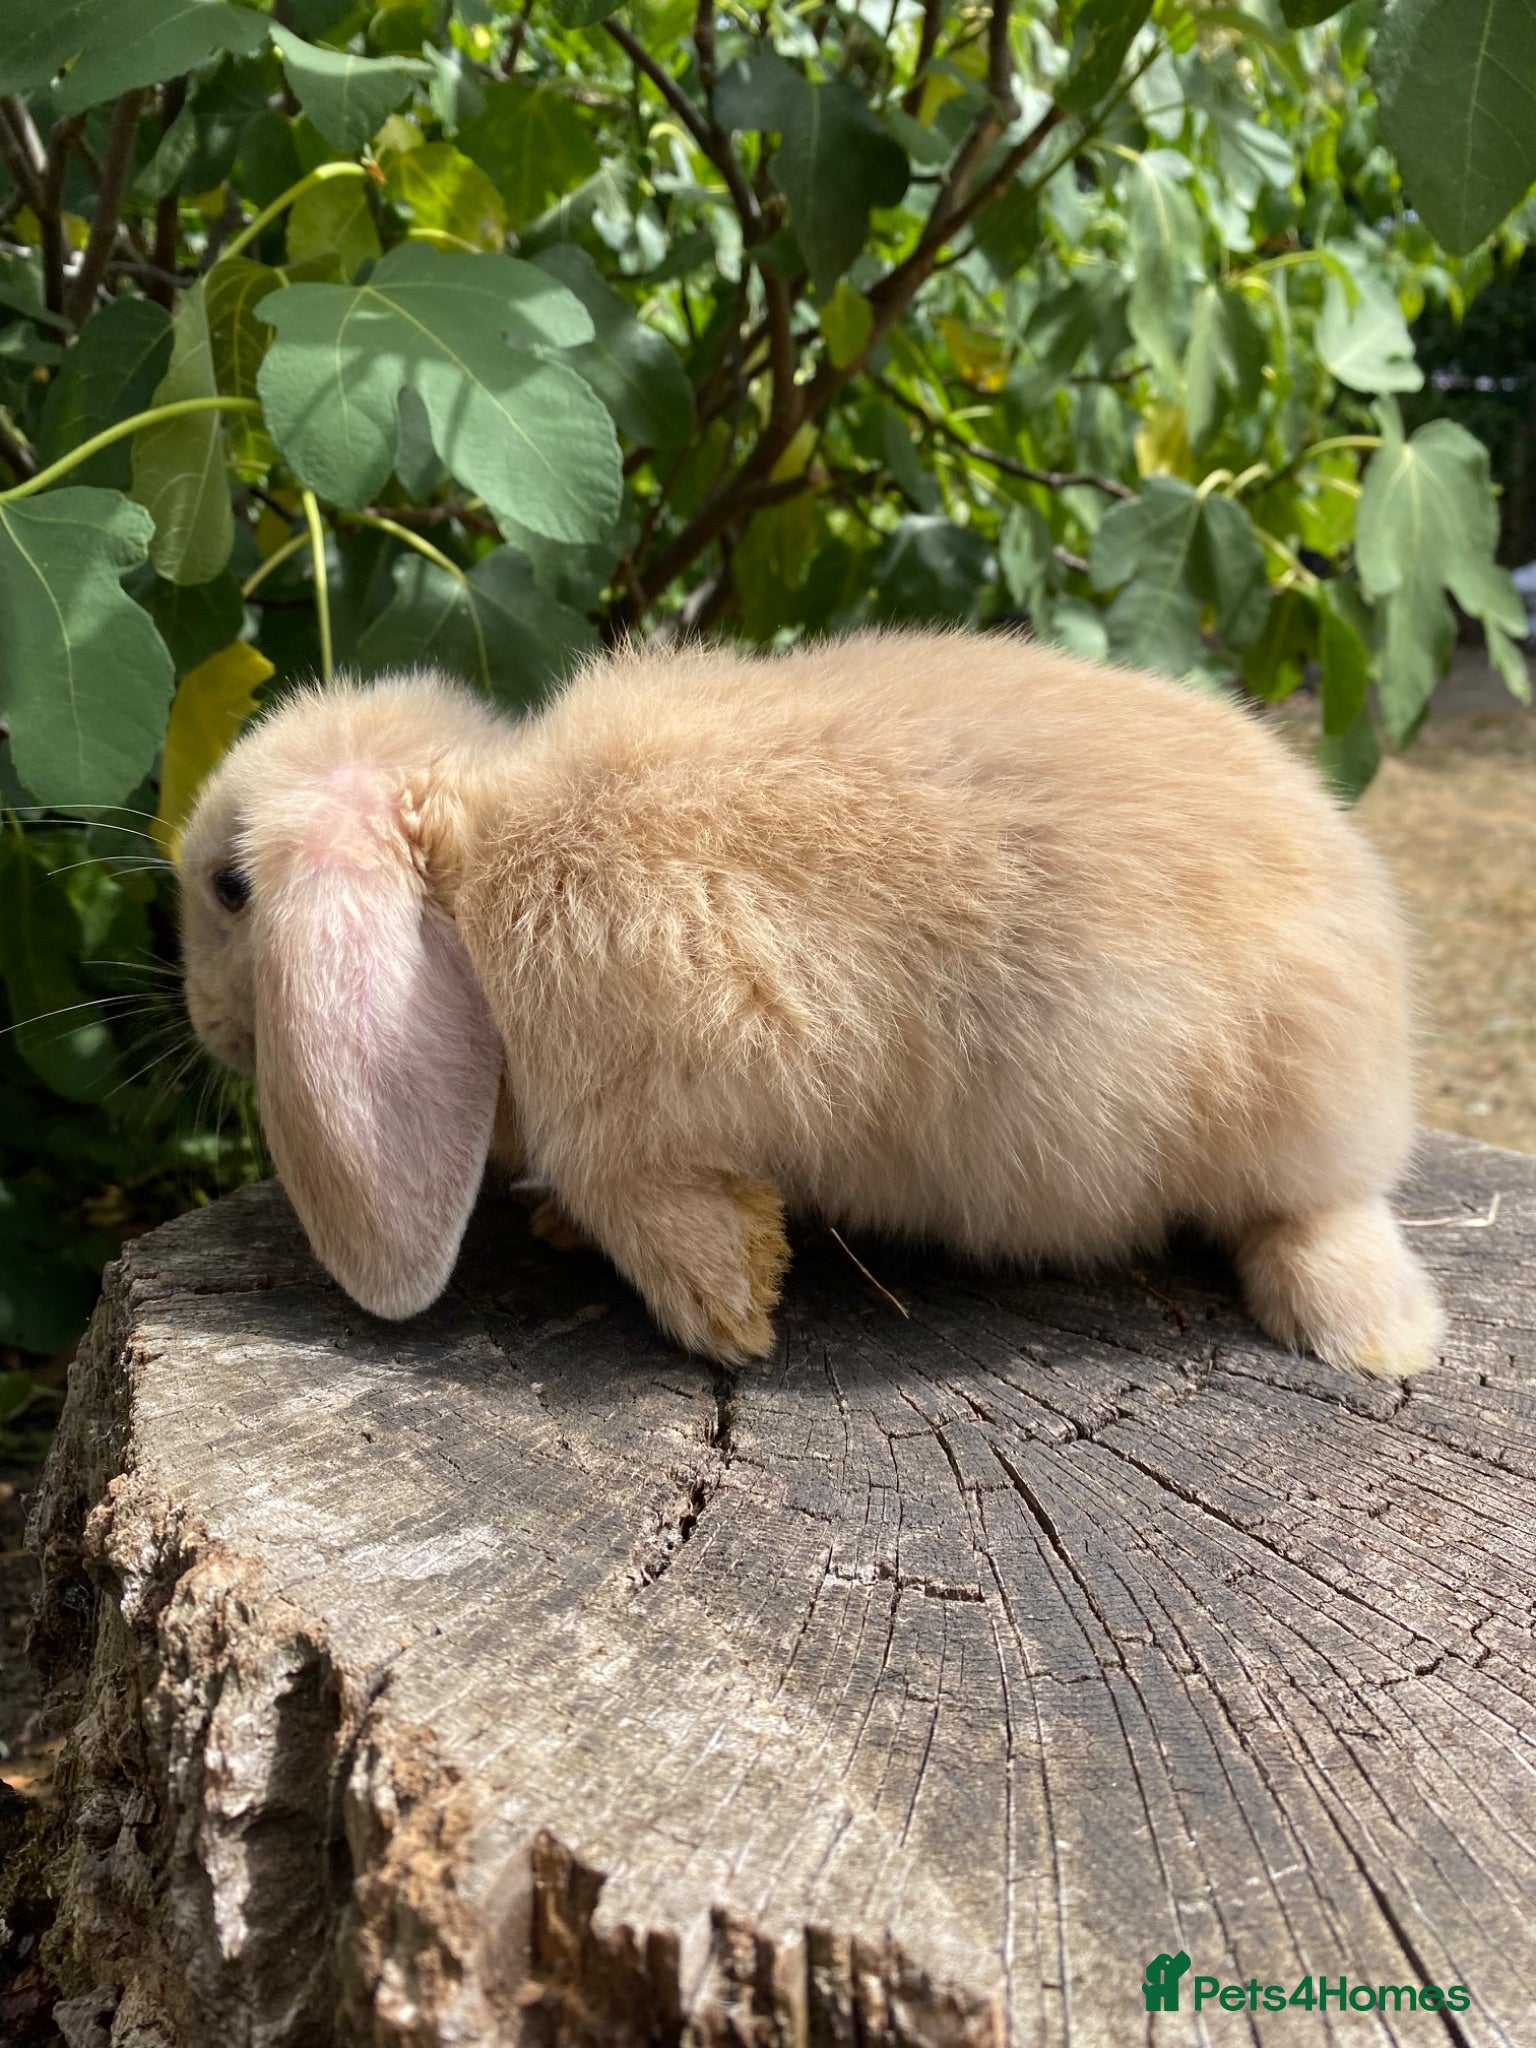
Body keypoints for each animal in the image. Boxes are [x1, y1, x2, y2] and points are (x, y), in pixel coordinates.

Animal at [178, 629, 1443, 1378]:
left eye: (230, 887)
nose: (206, 1028)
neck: (470, 874)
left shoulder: (630, 1128)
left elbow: (660, 1217)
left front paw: (733, 1316)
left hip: (1286, 1132)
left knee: (1320, 1221)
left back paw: (1378, 1338)